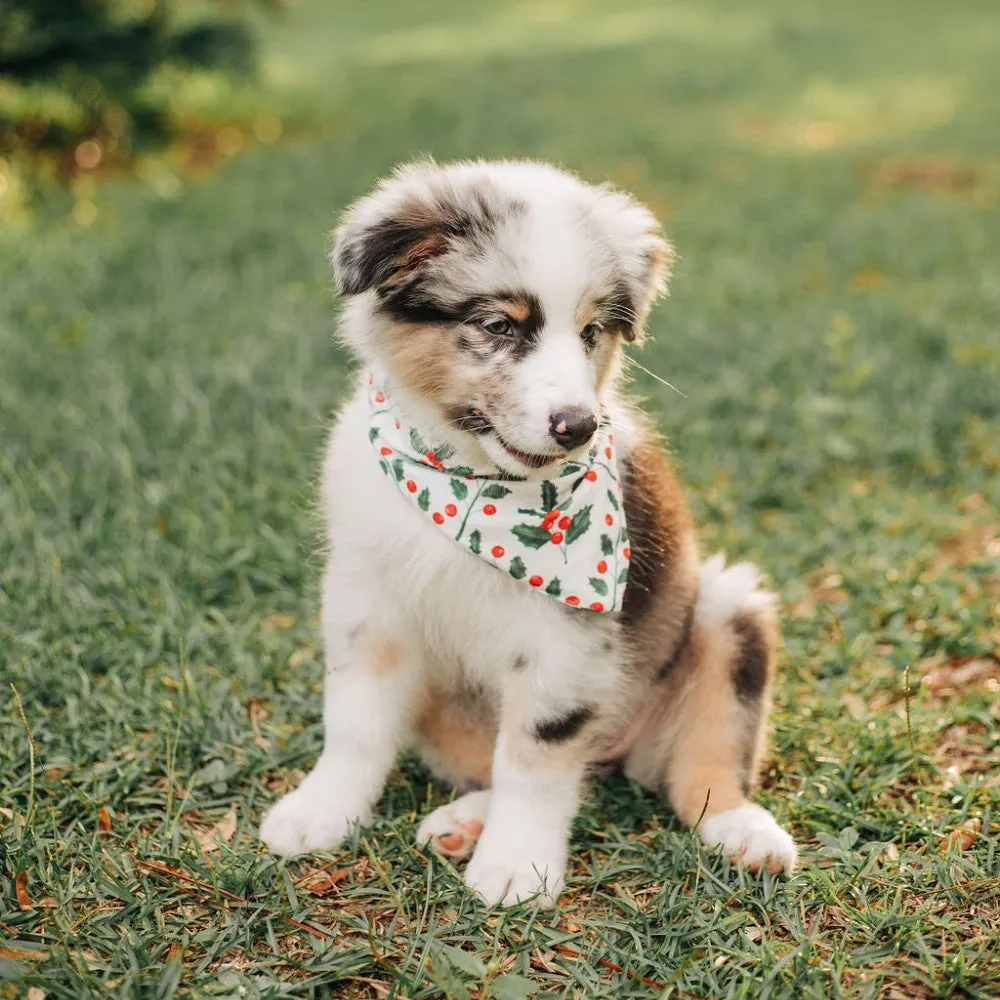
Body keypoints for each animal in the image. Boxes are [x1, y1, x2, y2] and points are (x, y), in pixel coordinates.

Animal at [260, 158, 796, 908]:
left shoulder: (566, 639)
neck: (468, 483)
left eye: (592, 331)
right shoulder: (368, 604)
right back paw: (462, 822)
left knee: (696, 770)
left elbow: (536, 756)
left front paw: (518, 865)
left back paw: (743, 830)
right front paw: (320, 812)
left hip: (726, 609)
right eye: (498, 326)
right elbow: (356, 726)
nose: (578, 426)